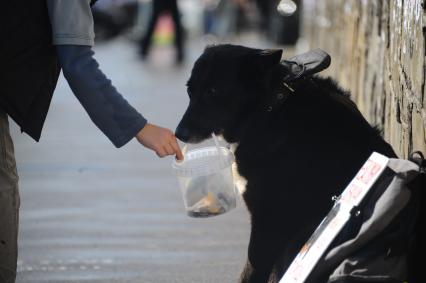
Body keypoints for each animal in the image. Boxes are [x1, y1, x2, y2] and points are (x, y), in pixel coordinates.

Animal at [175, 45, 398, 283]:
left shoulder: (270, 224)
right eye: (190, 91)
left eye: (212, 92)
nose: (179, 133)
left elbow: (253, 271)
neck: (269, 110)